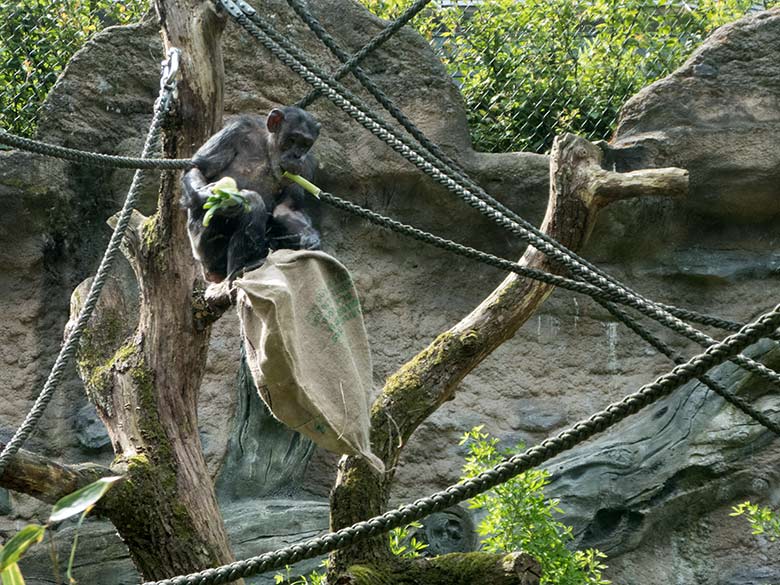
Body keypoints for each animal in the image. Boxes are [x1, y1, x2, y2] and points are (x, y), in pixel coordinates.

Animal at [181, 108, 322, 286]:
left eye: (305, 144)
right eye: (292, 139)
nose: (297, 155)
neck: (268, 148)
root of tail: (210, 275)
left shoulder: (306, 167)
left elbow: (288, 208)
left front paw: (310, 238)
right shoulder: (235, 131)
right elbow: (198, 168)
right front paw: (208, 195)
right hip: (204, 248)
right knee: (252, 201)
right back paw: (240, 268)